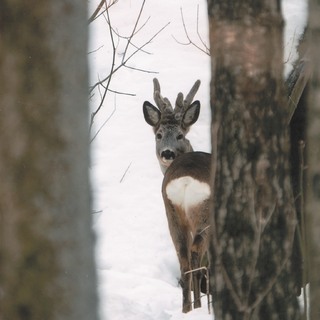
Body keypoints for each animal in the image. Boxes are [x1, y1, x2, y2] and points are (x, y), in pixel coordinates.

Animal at [144, 79, 211, 314]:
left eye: (180, 135)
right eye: (159, 135)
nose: (167, 153)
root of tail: (185, 181)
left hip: (172, 213)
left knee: (183, 259)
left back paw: (186, 309)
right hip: (204, 215)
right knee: (196, 256)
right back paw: (199, 307)